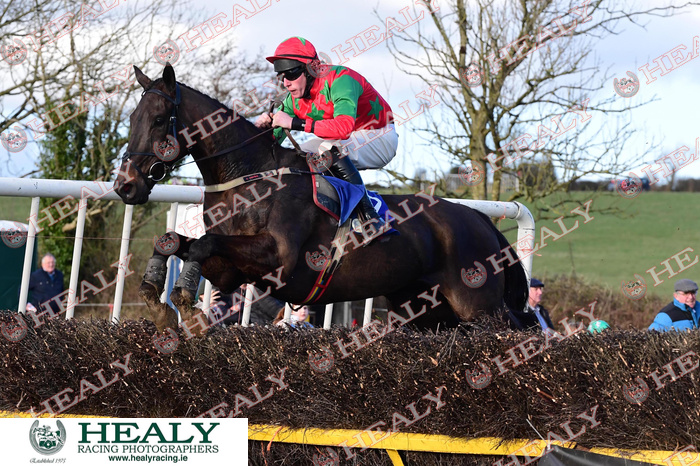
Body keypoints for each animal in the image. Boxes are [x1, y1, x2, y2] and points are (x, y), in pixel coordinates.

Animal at [112, 64, 524, 334]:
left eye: (160, 119)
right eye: (131, 118)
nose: (125, 186)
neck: (249, 177)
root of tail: (480, 220)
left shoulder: (278, 258)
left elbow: (202, 243)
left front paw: (187, 308)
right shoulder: (232, 271)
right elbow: (172, 241)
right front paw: (158, 303)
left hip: (479, 305)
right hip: (424, 311)